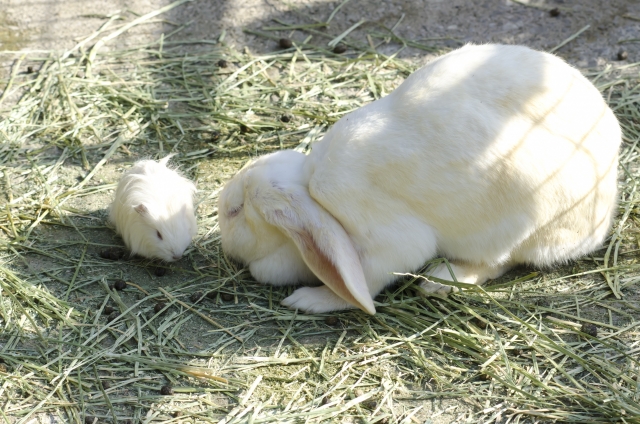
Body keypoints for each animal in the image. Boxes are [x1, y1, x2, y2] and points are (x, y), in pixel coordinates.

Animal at [216, 44, 620, 314]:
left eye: (235, 211)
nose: (224, 241)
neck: (316, 200)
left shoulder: (387, 242)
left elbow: (367, 281)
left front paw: (309, 300)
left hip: (520, 224)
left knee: (500, 261)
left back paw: (441, 281)